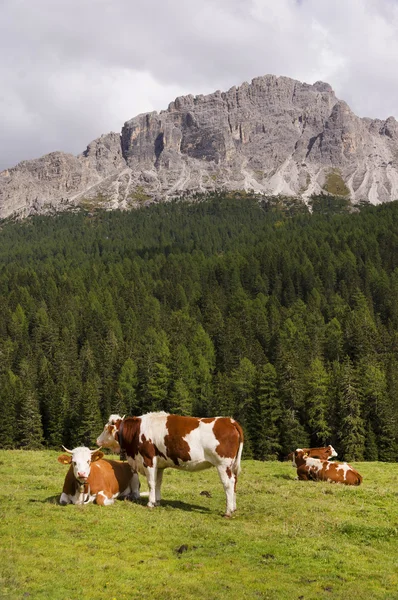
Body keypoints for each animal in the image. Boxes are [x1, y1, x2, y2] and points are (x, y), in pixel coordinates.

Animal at [96, 410, 244, 516]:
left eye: (105, 428)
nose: (97, 440)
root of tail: (229, 420)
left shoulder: (148, 459)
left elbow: (151, 483)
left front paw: (150, 503)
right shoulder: (160, 464)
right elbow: (158, 482)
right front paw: (157, 501)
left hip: (223, 465)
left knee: (228, 484)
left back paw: (228, 511)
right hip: (231, 466)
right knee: (235, 482)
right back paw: (234, 508)